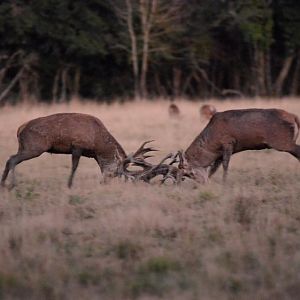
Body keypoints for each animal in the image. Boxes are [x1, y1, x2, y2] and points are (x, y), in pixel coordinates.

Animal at [1, 112, 175, 188]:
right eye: (115, 173)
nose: (104, 183)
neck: (97, 144)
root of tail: (20, 128)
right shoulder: (77, 146)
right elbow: (74, 166)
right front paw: (69, 185)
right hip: (35, 147)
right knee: (12, 159)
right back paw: (11, 184)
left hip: (25, 146)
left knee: (10, 159)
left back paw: (3, 184)